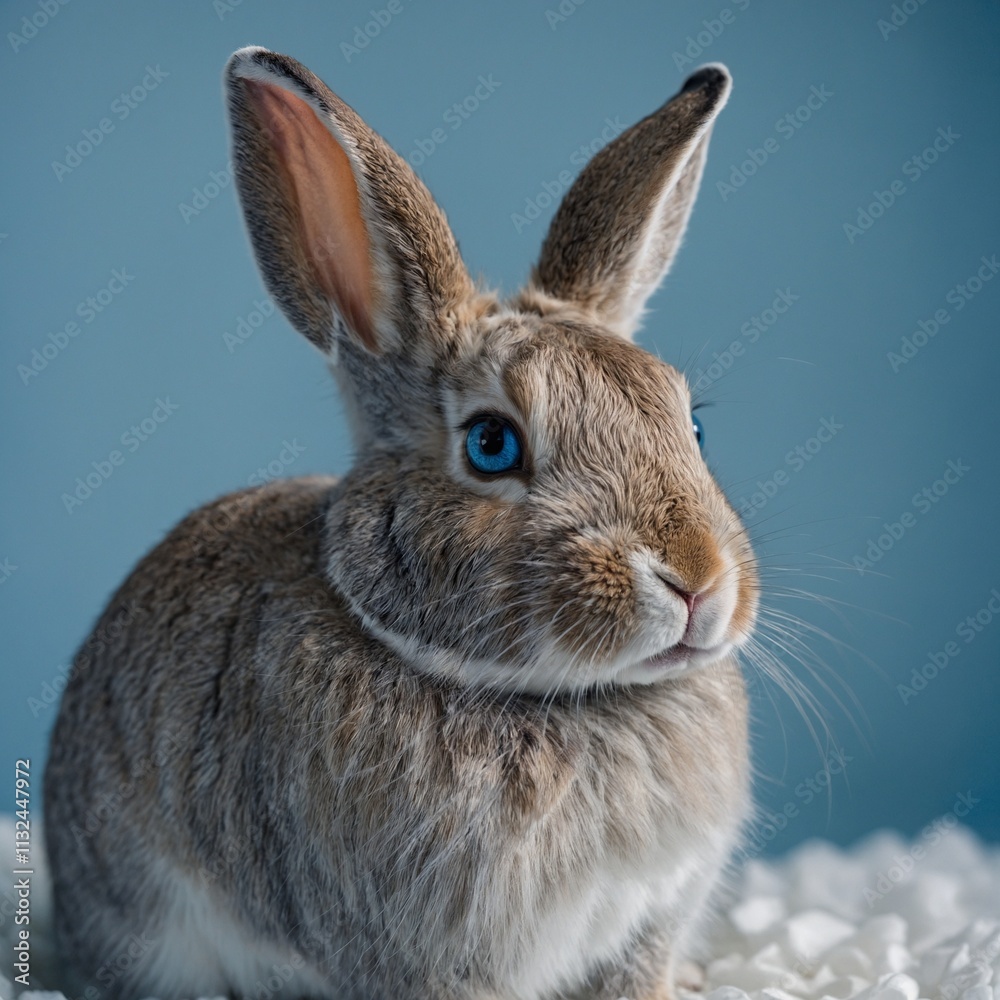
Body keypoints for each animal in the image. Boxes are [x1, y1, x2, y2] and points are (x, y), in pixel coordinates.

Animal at [43, 45, 758, 1000]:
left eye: (694, 426)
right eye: (492, 444)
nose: (697, 581)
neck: (562, 698)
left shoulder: (645, 924)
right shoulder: (427, 954)